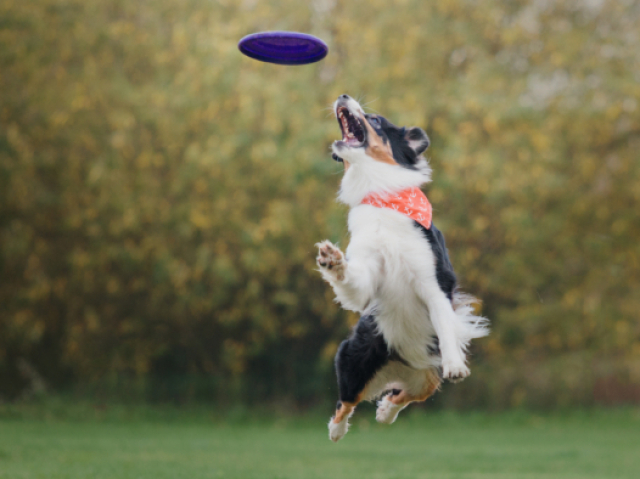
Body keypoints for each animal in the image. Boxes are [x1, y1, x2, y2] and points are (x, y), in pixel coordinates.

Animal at [316, 94, 490, 442]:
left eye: (376, 120)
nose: (343, 95)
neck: (382, 197)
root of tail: (401, 363)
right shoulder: (366, 278)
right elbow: (352, 281)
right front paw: (333, 260)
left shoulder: (432, 283)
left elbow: (446, 326)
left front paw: (456, 365)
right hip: (354, 356)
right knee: (347, 400)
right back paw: (337, 430)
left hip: (426, 370)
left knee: (409, 393)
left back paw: (385, 411)